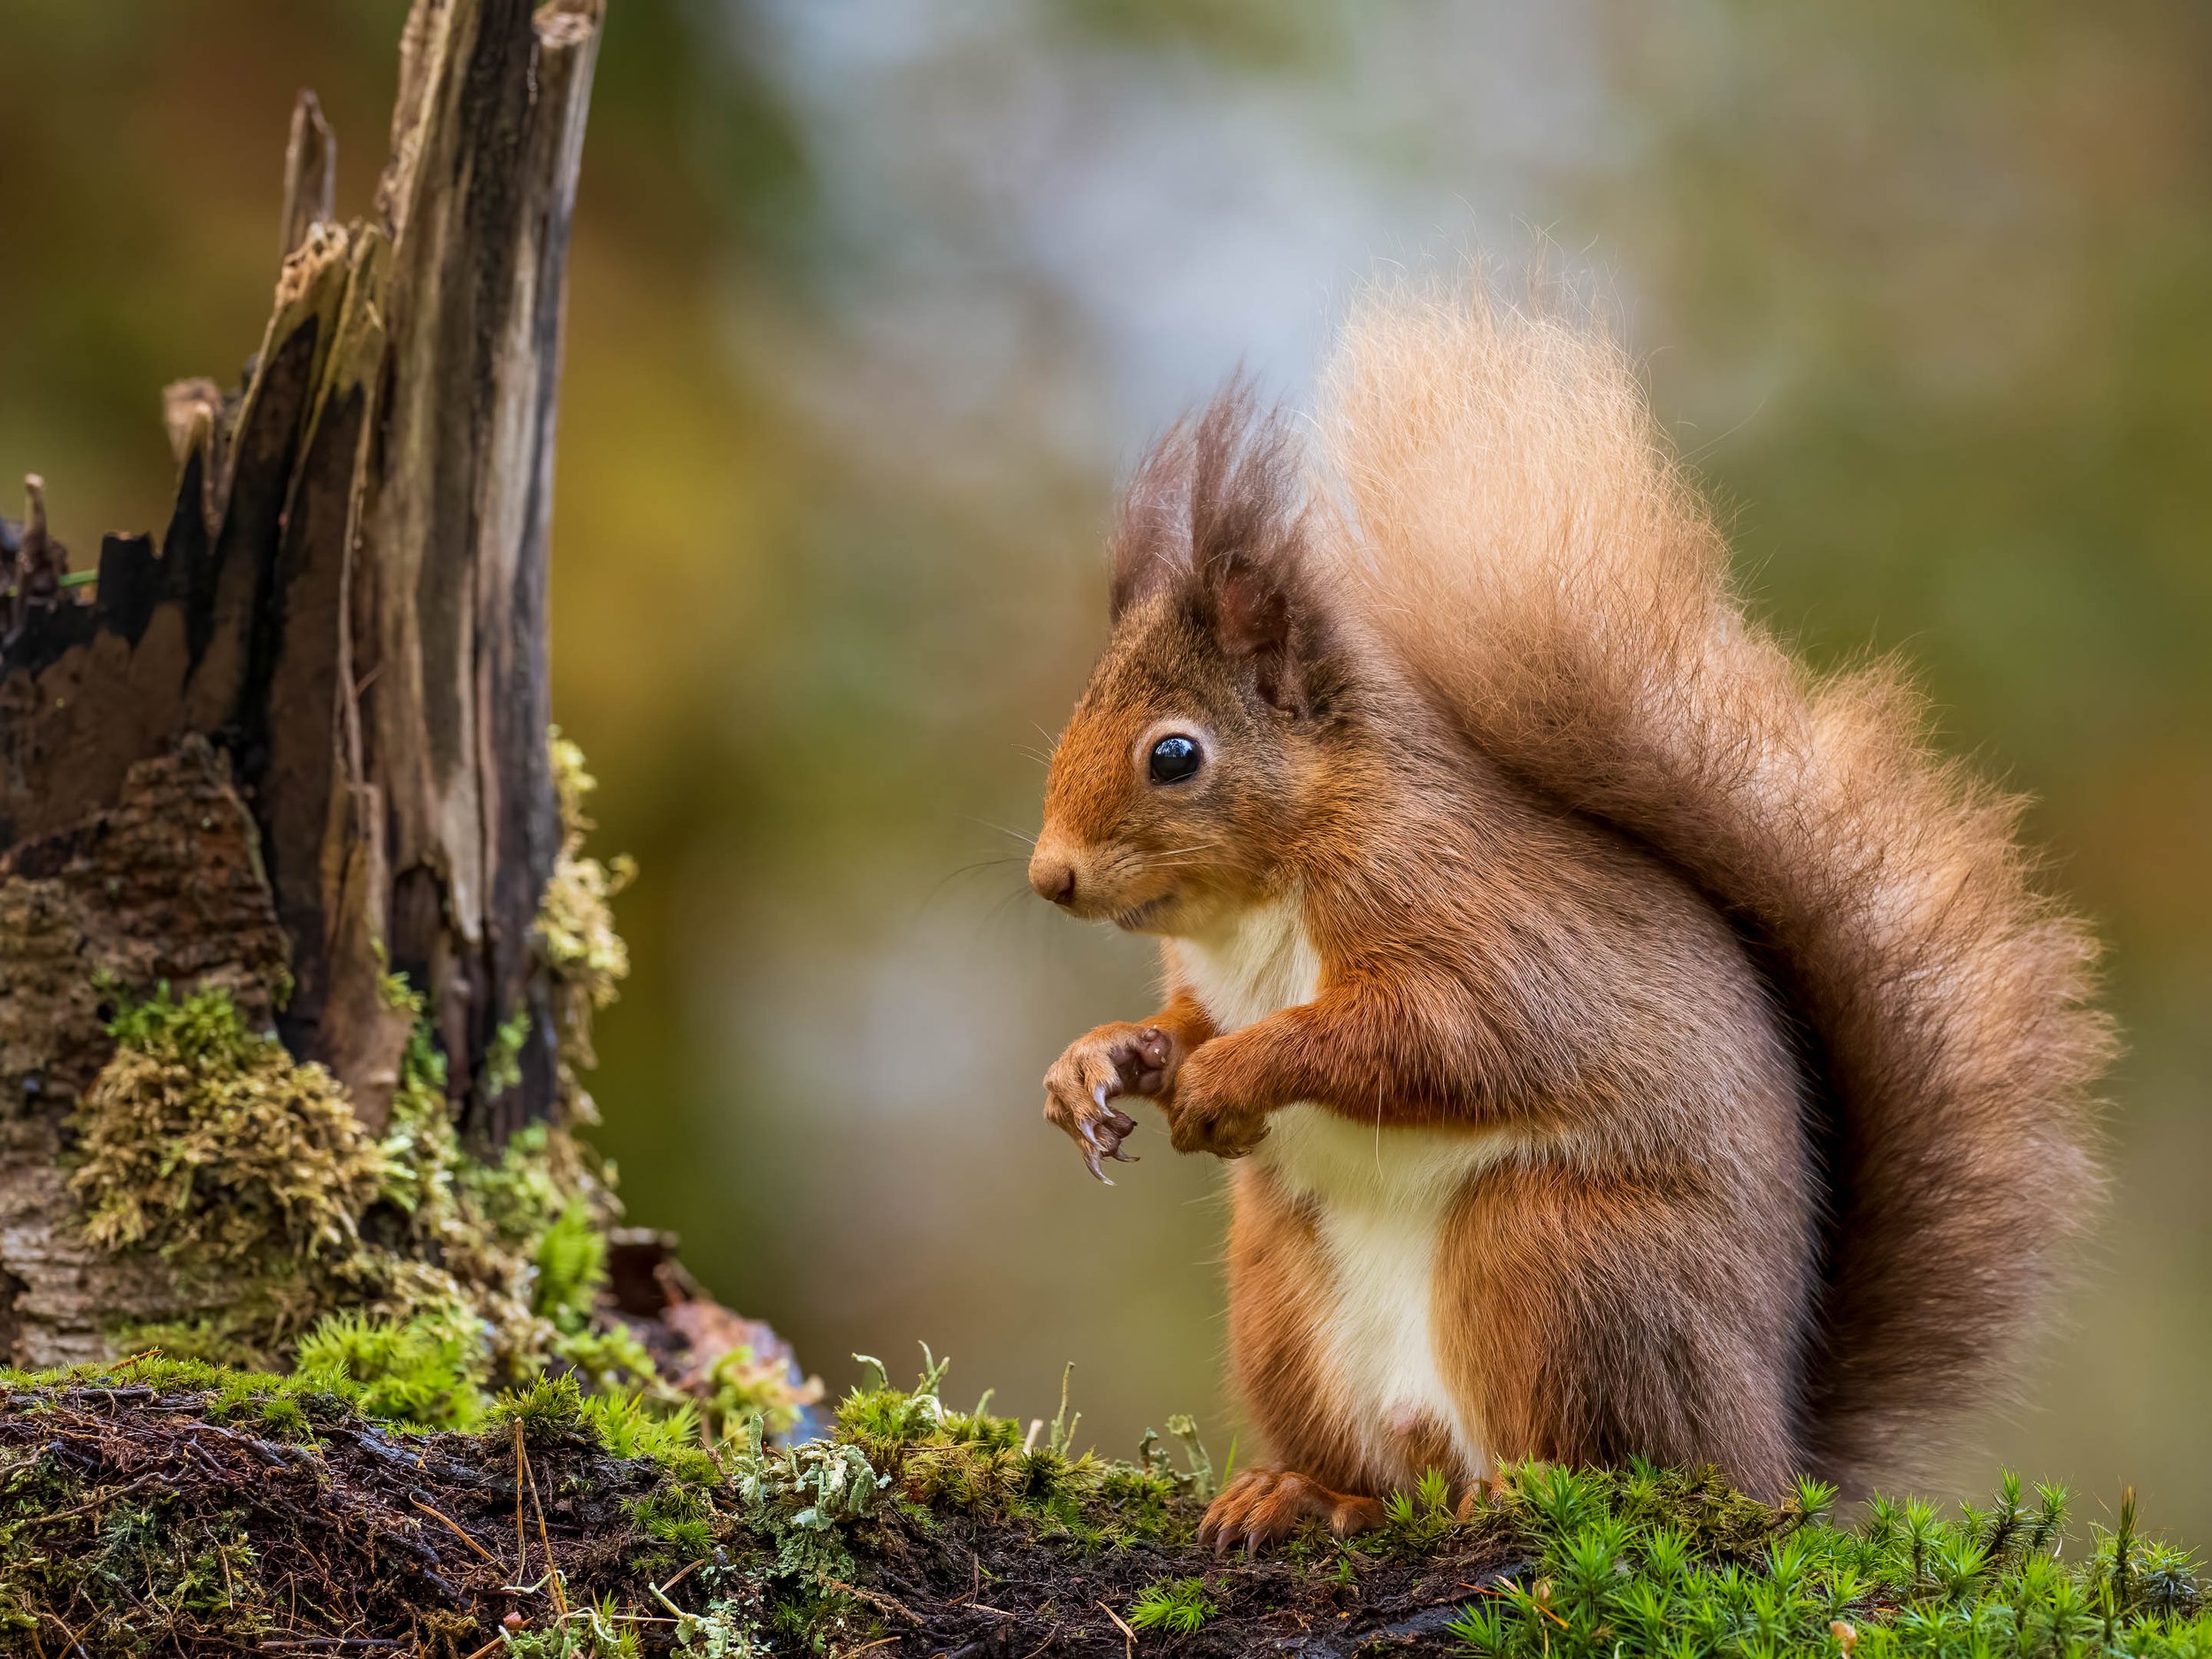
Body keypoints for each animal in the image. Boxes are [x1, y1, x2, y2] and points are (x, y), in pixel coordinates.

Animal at [1026, 285, 2115, 1557]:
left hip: (1557, 1257)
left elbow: (1443, 1037)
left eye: (1175, 755)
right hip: (1284, 1291)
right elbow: (1183, 1025)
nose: (1050, 875)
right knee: (1391, 1477)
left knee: (1599, 1459)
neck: (1262, 891)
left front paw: (1236, 1072)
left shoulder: (1466, 914)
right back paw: (1306, 1493)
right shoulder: (1210, 977)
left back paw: (1517, 1489)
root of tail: (1768, 1453)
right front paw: (1099, 1064)